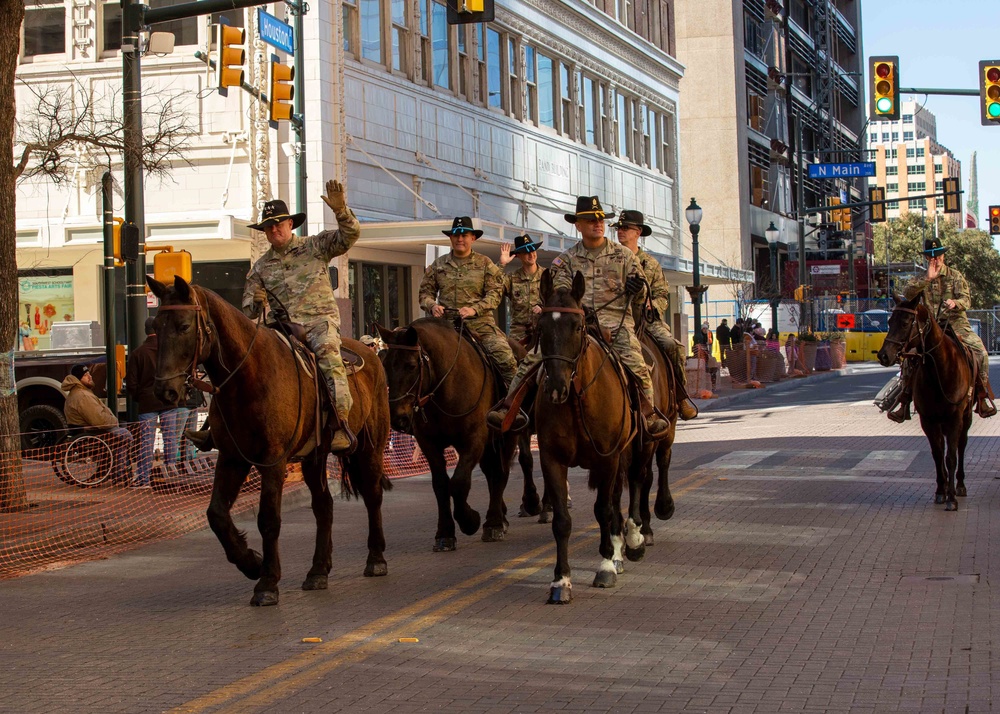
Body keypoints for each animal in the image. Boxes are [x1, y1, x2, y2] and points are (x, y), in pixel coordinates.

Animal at [148, 276, 390, 604]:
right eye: (155, 326)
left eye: (184, 326)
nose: (165, 392)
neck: (247, 378)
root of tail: (370, 354)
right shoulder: (232, 457)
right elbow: (216, 514)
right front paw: (251, 562)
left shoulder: (273, 461)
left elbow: (268, 519)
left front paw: (267, 581)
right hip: (314, 457)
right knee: (323, 506)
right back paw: (318, 571)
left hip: (370, 448)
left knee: (372, 495)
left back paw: (376, 558)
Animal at [376, 320, 516, 548]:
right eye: (386, 365)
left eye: (411, 366)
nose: (397, 417)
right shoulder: (429, 443)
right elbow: (441, 485)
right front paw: (444, 533)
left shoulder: (474, 439)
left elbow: (459, 483)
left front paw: (470, 520)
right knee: (491, 472)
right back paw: (500, 516)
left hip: (508, 436)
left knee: (500, 473)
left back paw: (495, 522)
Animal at [532, 270, 648, 604]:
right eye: (540, 327)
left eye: (578, 326)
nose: (556, 387)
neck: (577, 400)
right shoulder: (551, 460)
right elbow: (561, 521)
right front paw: (561, 581)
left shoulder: (607, 458)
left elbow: (603, 509)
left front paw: (606, 564)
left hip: (635, 448)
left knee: (635, 482)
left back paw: (632, 541)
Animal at [880, 292, 972, 508]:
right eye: (889, 321)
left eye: (906, 322)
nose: (883, 355)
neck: (939, 370)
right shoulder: (928, 420)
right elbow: (938, 455)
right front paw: (941, 491)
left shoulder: (955, 418)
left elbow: (951, 456)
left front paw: (951, 497)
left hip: (965, 417)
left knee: (961, 445)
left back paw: (960, 485)